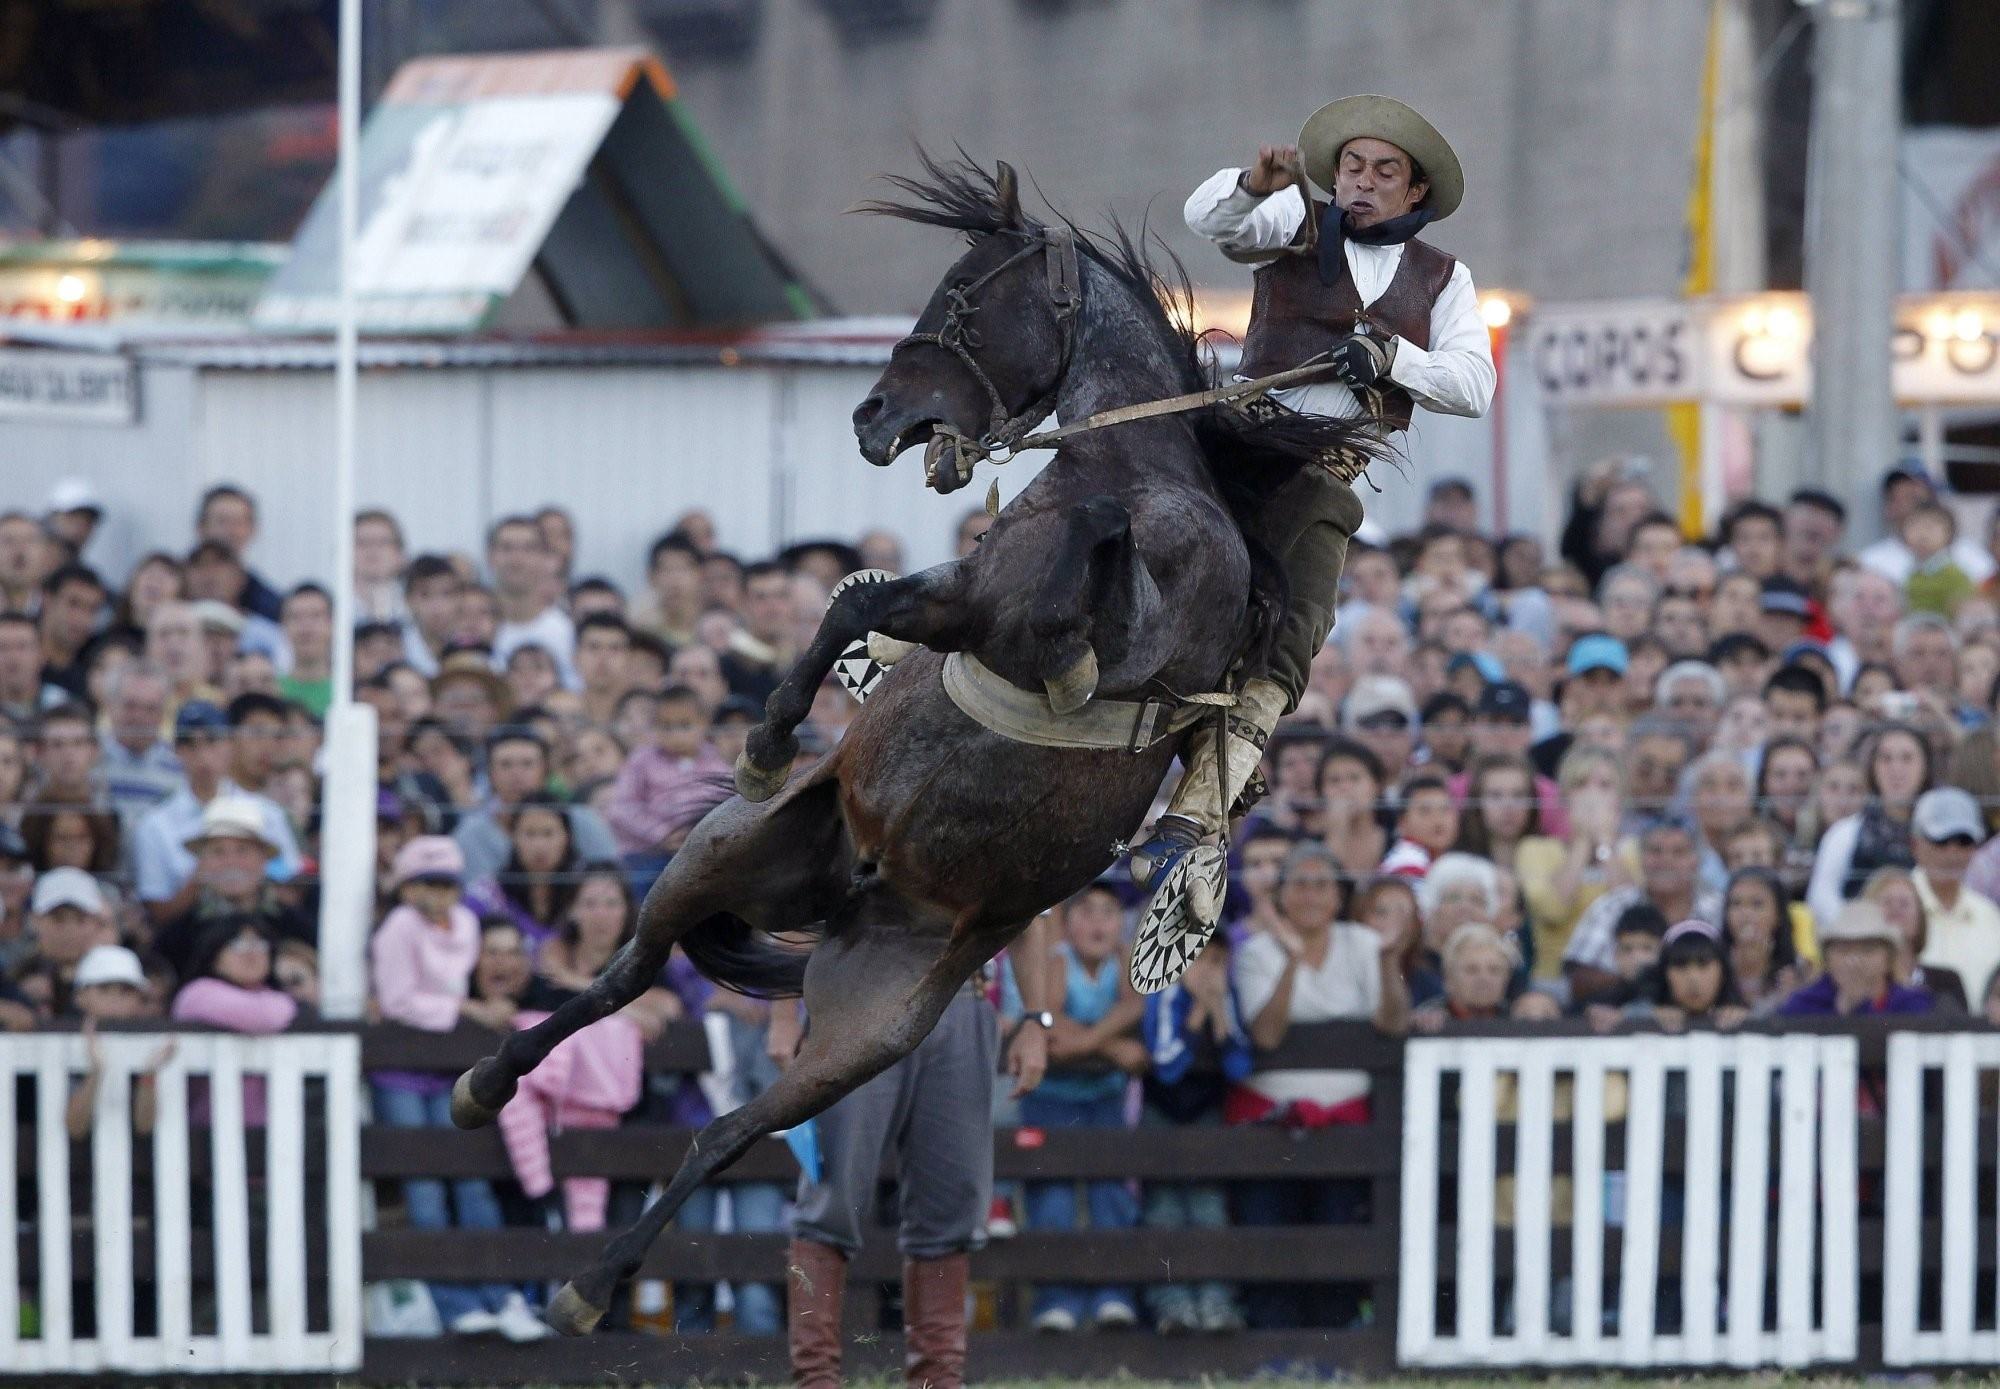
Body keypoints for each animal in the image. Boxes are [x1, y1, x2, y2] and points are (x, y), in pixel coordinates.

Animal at [446, 152, 1384, 1336]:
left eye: (963, 295)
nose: (871, 411)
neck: (1141, 474)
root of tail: (854, 890)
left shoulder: (1105, 621)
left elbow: (981, 590)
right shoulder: (969, 604)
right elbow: (865, 604)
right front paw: (767, 739)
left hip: (868, 1030)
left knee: (728, 1130)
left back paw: (588, 1281)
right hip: (715, 859)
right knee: (625, 978)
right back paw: (486, 1085)